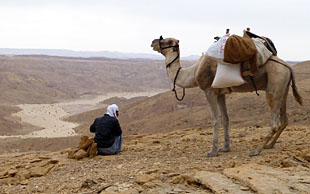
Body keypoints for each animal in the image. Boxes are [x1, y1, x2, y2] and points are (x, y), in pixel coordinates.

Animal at [151, 35, 302, 156]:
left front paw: (212, 151)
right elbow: (225, 118)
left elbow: (214, 119)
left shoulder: (209, 91)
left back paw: (256, 150)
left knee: (275, 122)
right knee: (285, 119)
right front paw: (225, 148)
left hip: (274, 86)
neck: (193, 72)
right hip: (283, 88)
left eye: (165, 40)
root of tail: (289, 67)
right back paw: (269, 145)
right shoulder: (220, 93)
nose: (153, 42)